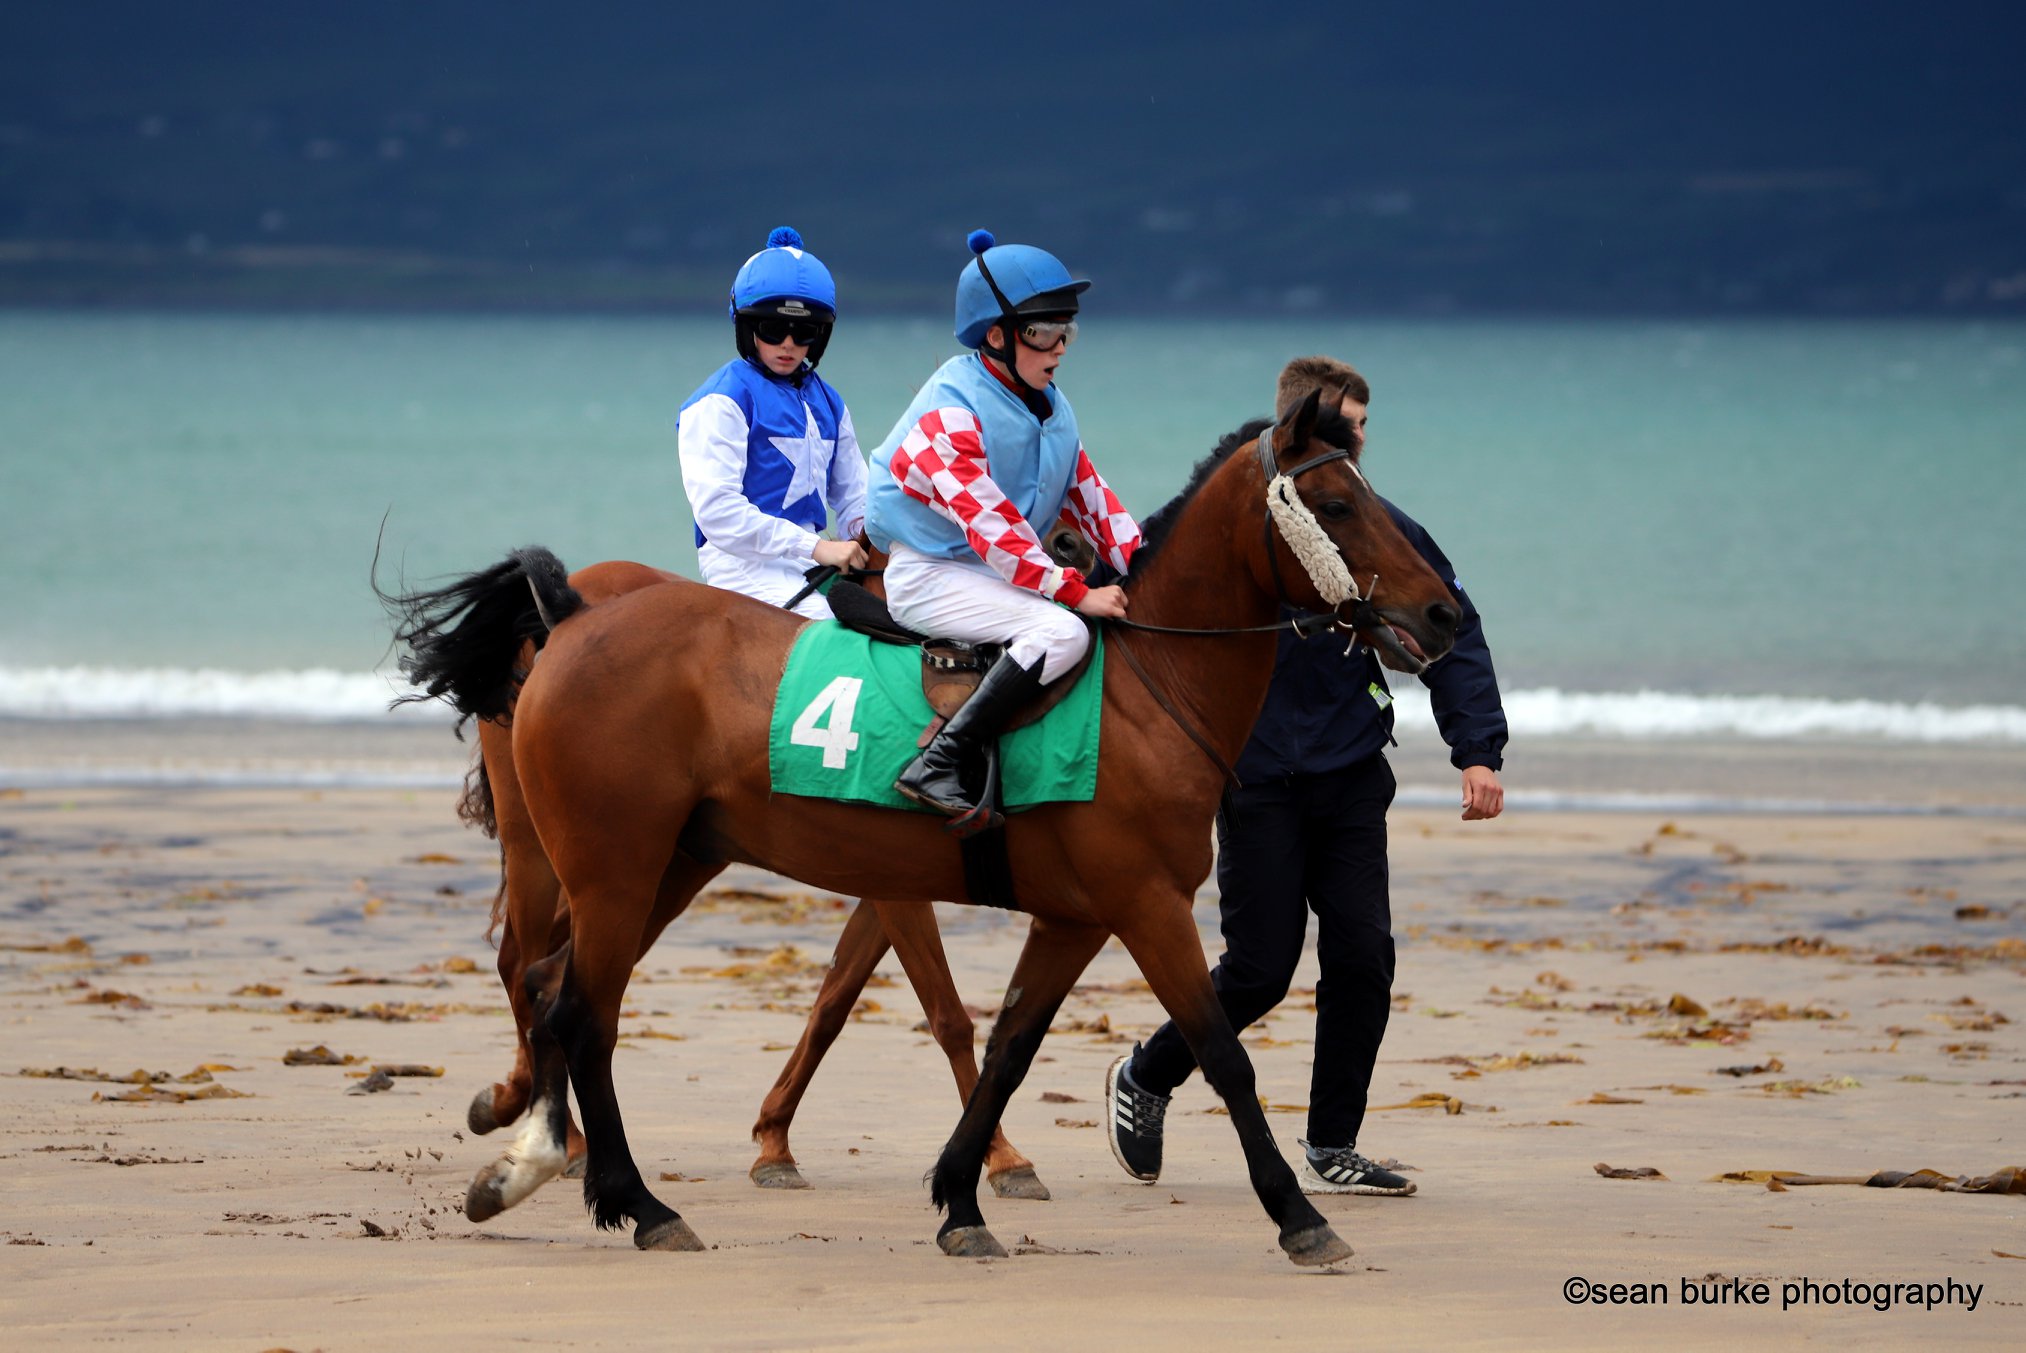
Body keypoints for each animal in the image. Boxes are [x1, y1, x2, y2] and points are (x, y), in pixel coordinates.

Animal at [438, 562, 1049, 1199]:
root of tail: (565, 607)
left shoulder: (888, 874)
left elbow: (835, 999)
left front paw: (775, 1141)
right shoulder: (893, 879)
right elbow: (945, 1013)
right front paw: (1003, 1157)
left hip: (657, 866)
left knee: (546, 965)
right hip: (547, 846)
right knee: (526, 960)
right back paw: (550, 1129)